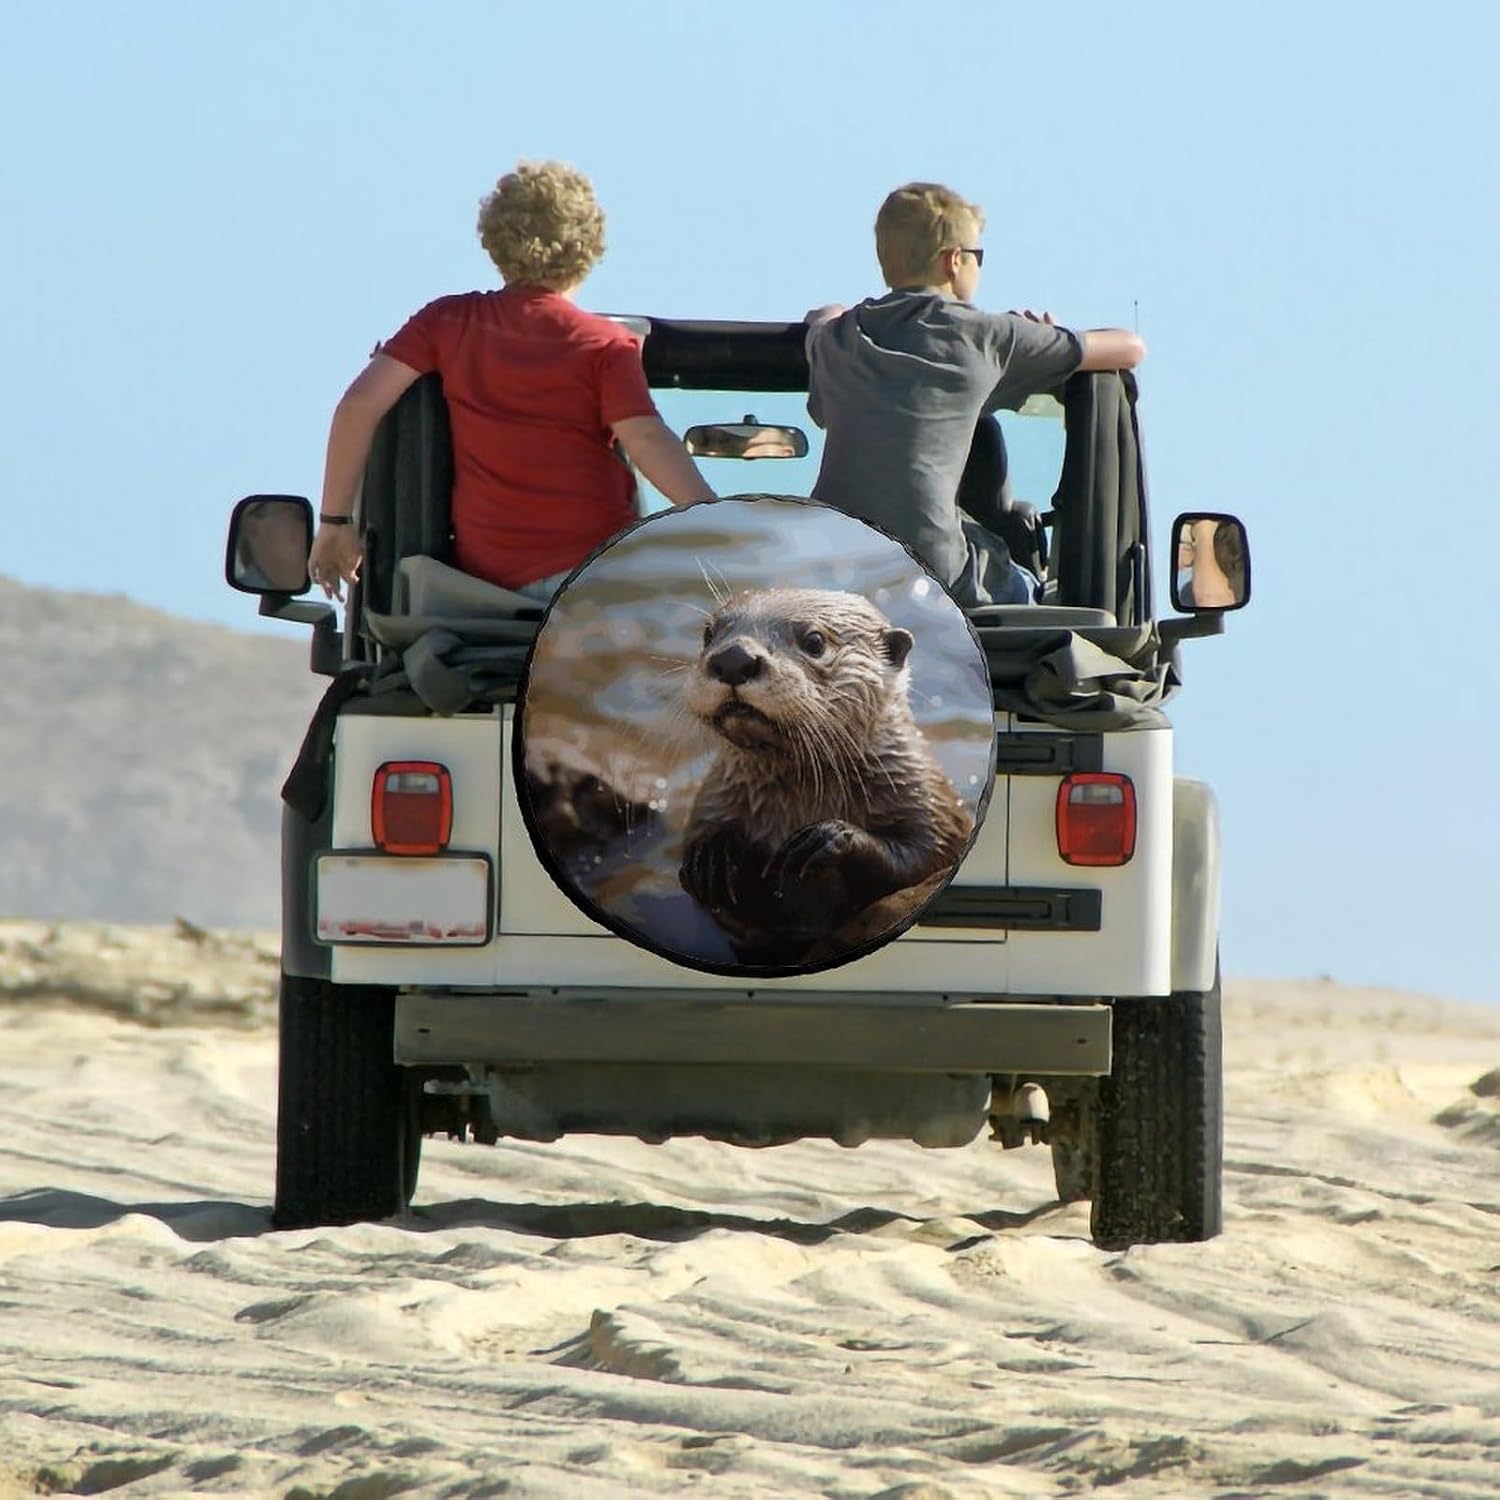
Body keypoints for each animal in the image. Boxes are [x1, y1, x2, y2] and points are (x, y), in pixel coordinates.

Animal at [678, 587, 975, 965]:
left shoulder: (928, 802)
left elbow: (922, 858)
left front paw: (829, 837)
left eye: (814, 641)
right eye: (709, 633)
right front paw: (713, 857)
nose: (733, 657)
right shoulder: (712, 800)